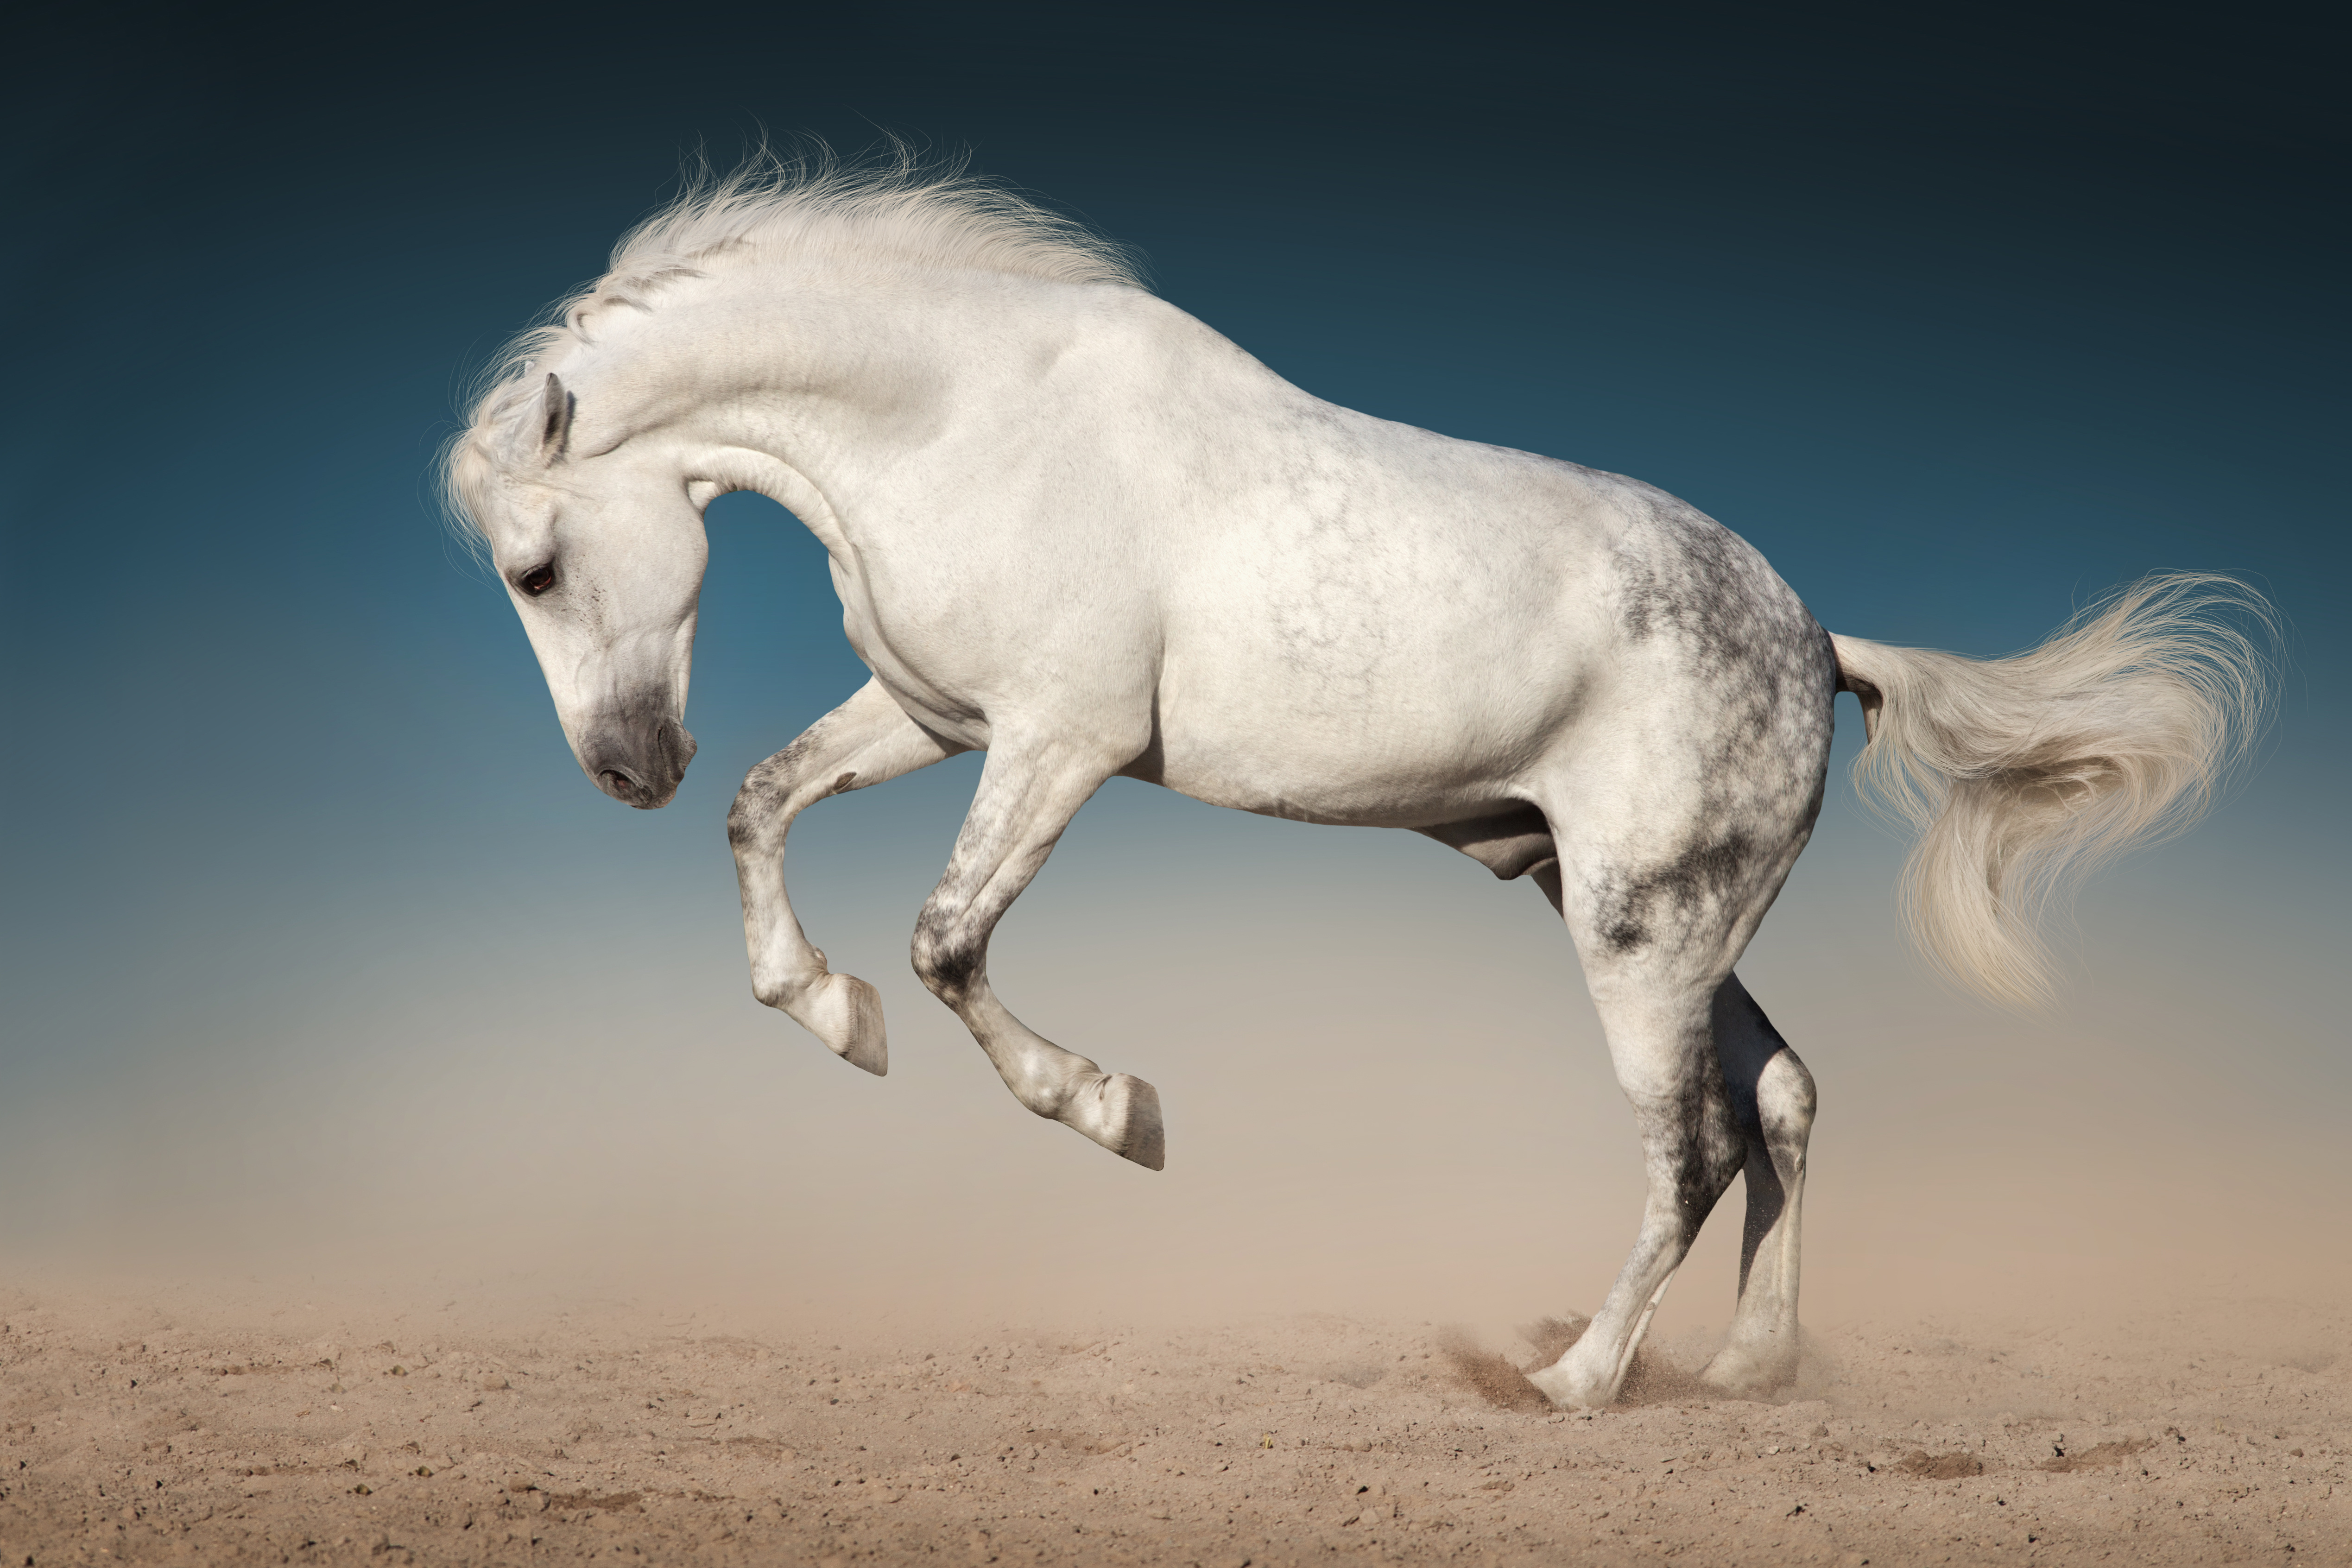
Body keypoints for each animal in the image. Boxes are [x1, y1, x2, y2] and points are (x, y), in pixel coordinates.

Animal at [443, 154, 2270, 1410]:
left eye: (535, 566)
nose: (626, 768)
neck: (966, 418)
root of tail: (1820, 639)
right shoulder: (937, 715)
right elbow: (768, 809)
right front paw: (830, 1014)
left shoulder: (1056, 743)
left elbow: (948, 943)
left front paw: (1120, 1112)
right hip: (1649, 920)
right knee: (1783, 1100)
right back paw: (1748, 1368)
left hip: (1636, 937)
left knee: (1689, 1146)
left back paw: (1577, 1381)